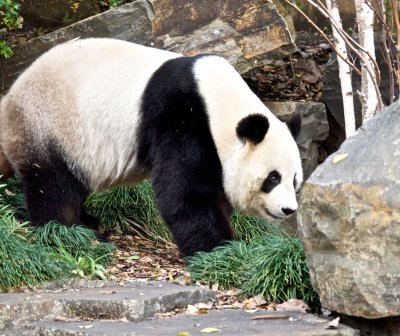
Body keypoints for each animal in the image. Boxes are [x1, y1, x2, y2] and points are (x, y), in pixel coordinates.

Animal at [0, 38, 302, 256]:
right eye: (272, 178)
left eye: (295, 180)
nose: (289, 210)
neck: (219, 104)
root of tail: (9, 100)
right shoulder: (182, 117)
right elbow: (185, 193)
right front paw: (220, 249)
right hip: (48, 123)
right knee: (53, 184)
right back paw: (74, 232)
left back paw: (89, 220)